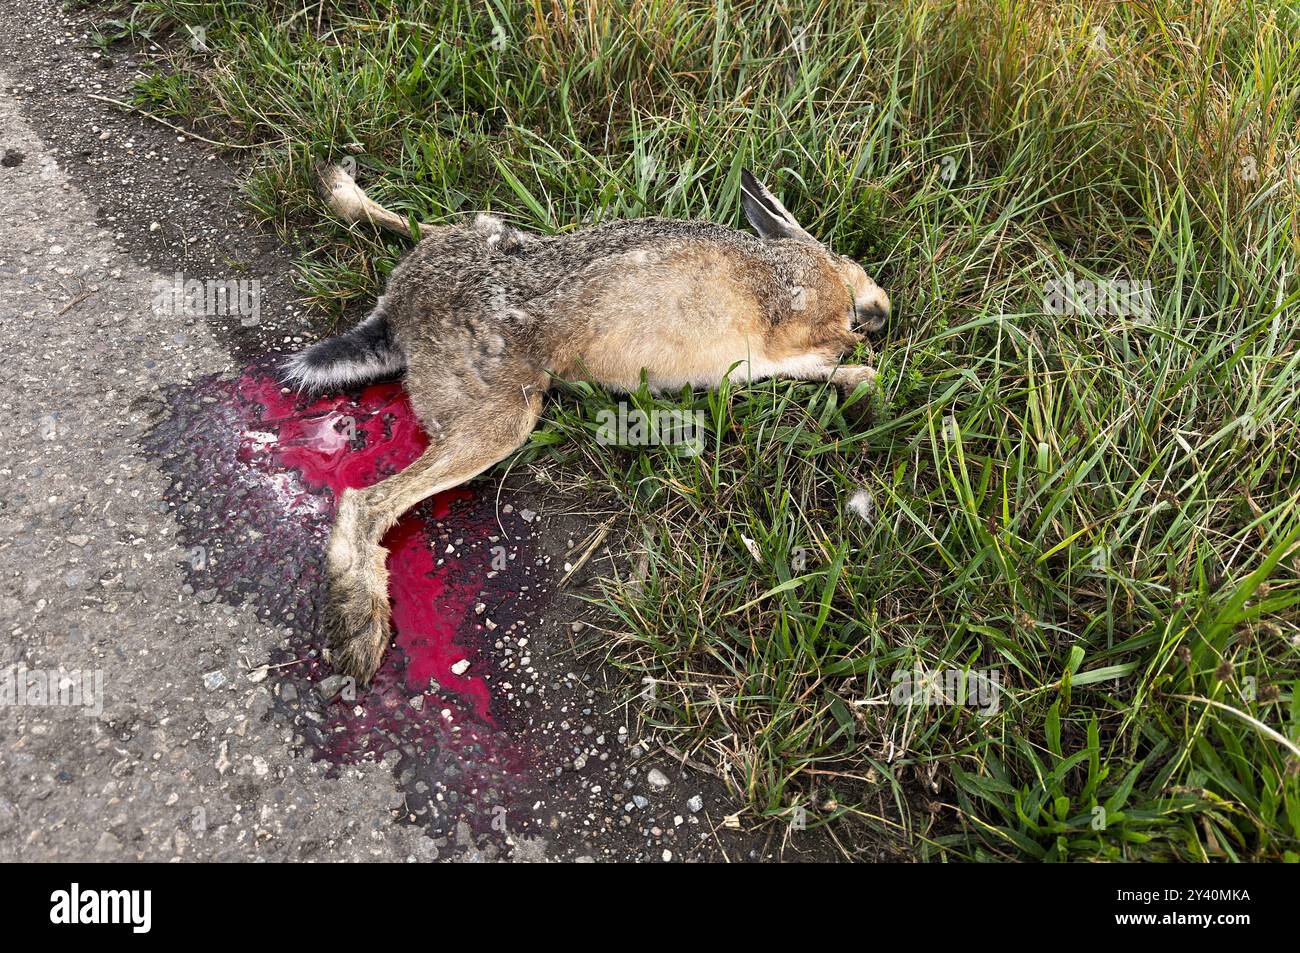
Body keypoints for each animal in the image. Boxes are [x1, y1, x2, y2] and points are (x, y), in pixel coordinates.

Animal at [285, 164, 891, 684]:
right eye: (858, 267)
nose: (882, 311)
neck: (811, 263)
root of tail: (399, 315)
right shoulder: (797, 322)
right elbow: (838, 351)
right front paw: (865, 370)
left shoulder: (776, 357)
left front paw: (863, 388)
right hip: (502, 416)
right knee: (366, 503)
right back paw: (359, 630)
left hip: (485, 239)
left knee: (424, 227)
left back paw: (343, 190)